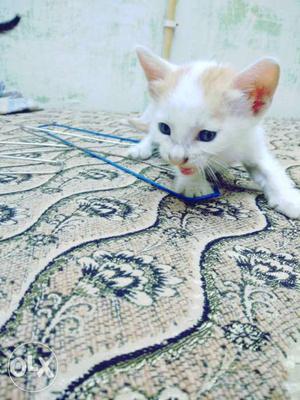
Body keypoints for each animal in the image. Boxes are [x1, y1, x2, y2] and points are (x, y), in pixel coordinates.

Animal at [129, 46, 300, 219]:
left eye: (207, 135)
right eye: (164, 128)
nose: (176, 158)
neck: (224, 152)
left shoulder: (252, 140)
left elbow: (269, 169)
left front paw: (288, 198)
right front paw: (194, 184)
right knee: (150, 134)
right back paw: (141, 148)